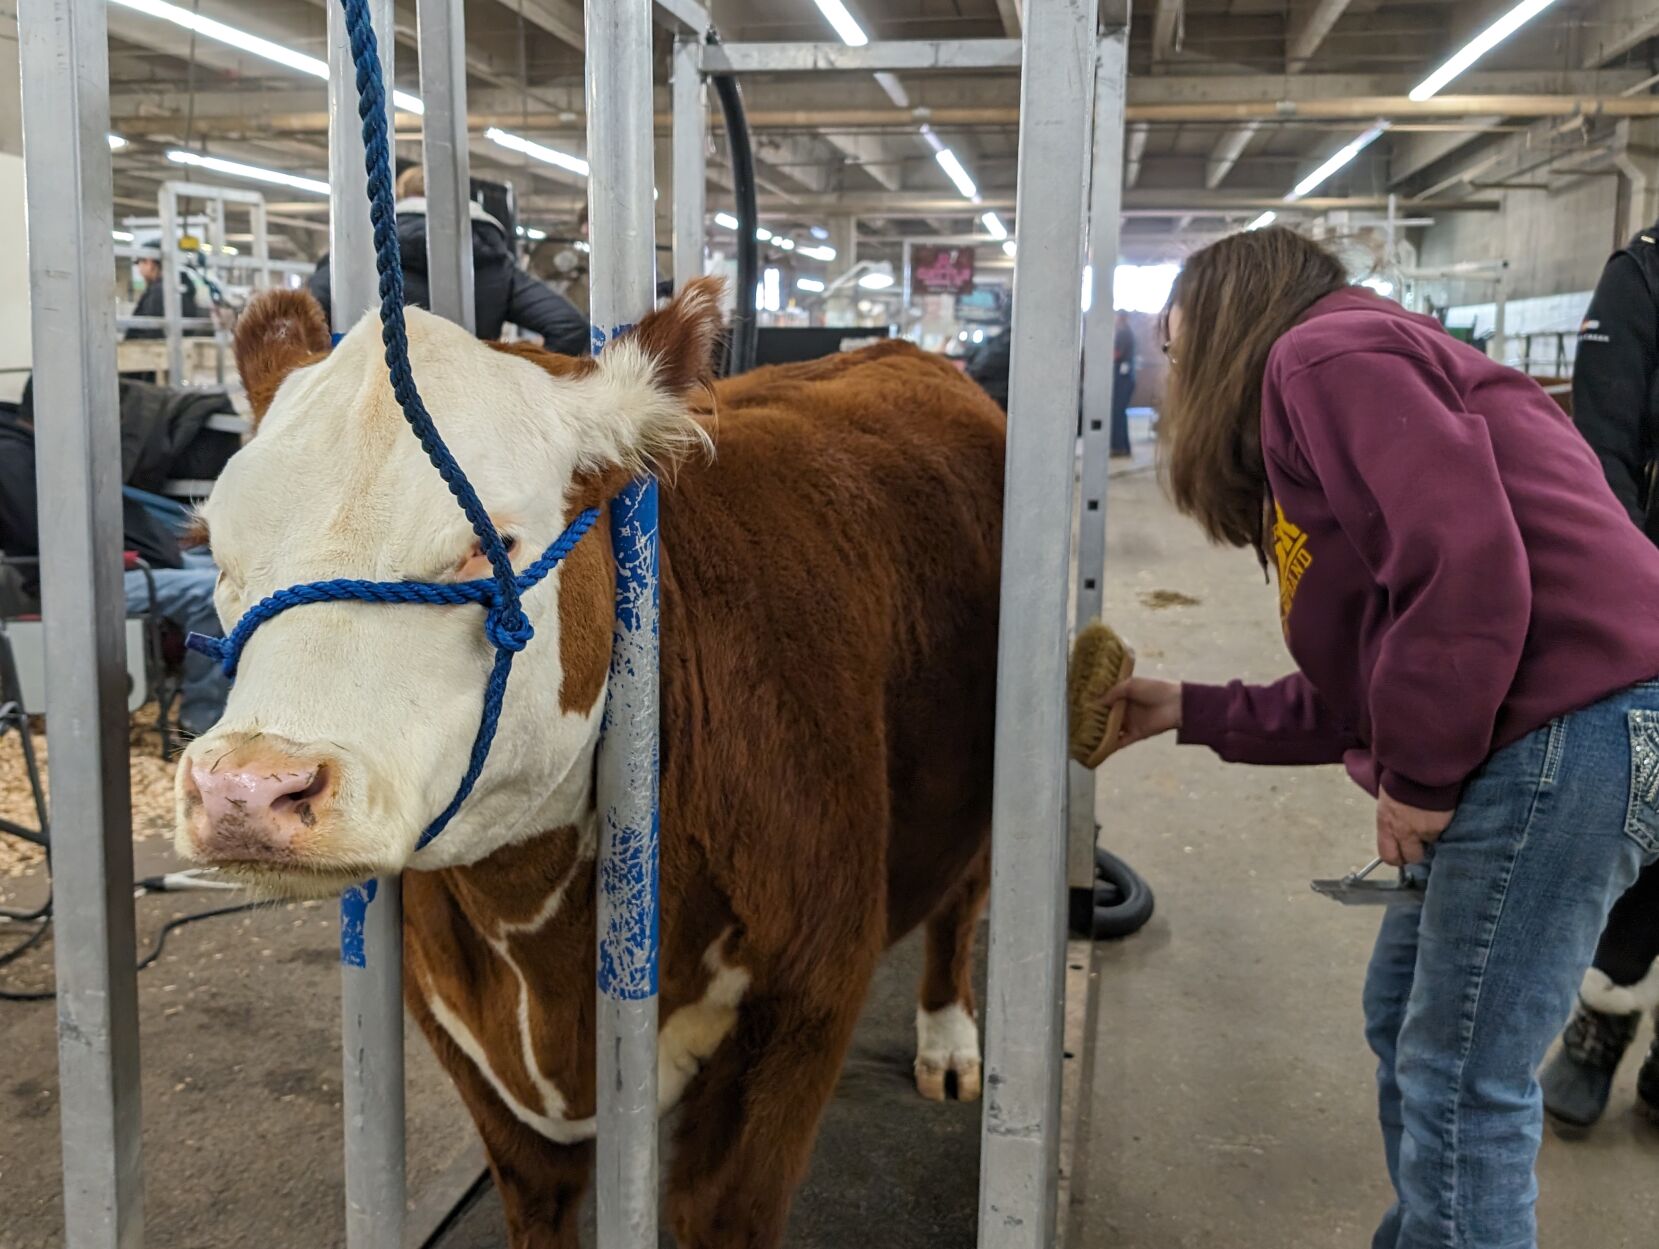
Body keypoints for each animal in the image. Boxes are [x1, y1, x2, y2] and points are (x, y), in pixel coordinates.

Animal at [178, 281, 1008, 1247]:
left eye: (488, 542)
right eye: (214, 544)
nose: (248, 788)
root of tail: (896, 351)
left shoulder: (805, 1001)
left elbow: (721, 1210)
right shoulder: (464, 1043)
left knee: (964, 894)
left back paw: (948, 1043)